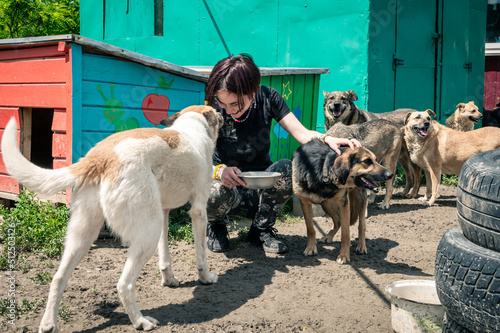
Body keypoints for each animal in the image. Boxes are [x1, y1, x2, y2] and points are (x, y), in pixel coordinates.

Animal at [0, 104, 223, 330]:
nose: (223, 114)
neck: (192, 125)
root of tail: (99, 157)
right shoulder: (198, 210)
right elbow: (201, 255)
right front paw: (206, 277)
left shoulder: (164, 212)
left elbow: (165, 257)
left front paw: (169, 280)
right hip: (147, 234)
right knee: (124, 284)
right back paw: (140, 321)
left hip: (84, 236)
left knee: (58, 278)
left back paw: (48, 324)